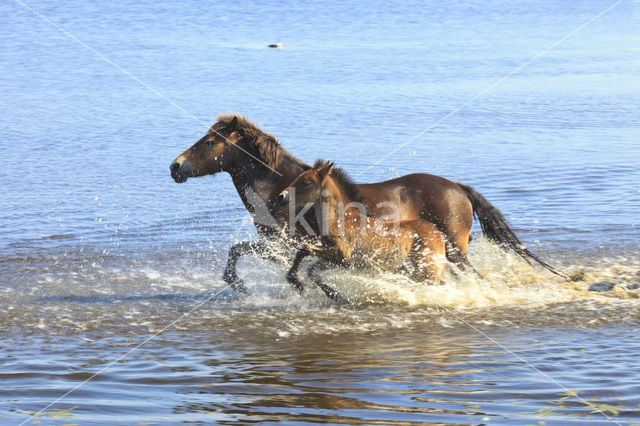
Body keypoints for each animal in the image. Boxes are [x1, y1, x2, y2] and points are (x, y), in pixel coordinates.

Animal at [278, 160, 448, 302]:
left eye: (306, 182)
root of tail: (438, 235)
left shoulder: (342, 254)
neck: (341, 219)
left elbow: (305, 250)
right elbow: (312, 269)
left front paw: (296, 281)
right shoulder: (339, 261)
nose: (281, 196)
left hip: (427, 273)